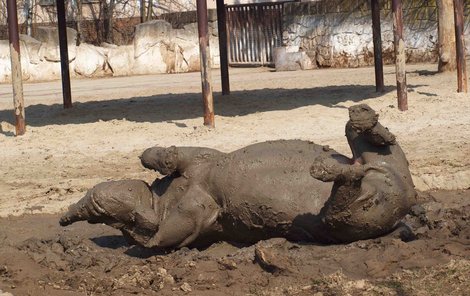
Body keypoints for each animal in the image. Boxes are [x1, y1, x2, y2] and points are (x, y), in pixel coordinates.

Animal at [60, 104, 416, 247]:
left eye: (95, 208)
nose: (67, 216)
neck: (164, 197)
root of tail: (405, 201)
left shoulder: (201, 158)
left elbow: (160, 153)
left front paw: (162, 159)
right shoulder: (189, 224)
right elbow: (163, 235)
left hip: (379, 181)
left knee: (365, 145)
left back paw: (365, 122)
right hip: (350, 219)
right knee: (347, 187)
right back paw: (331, 164)